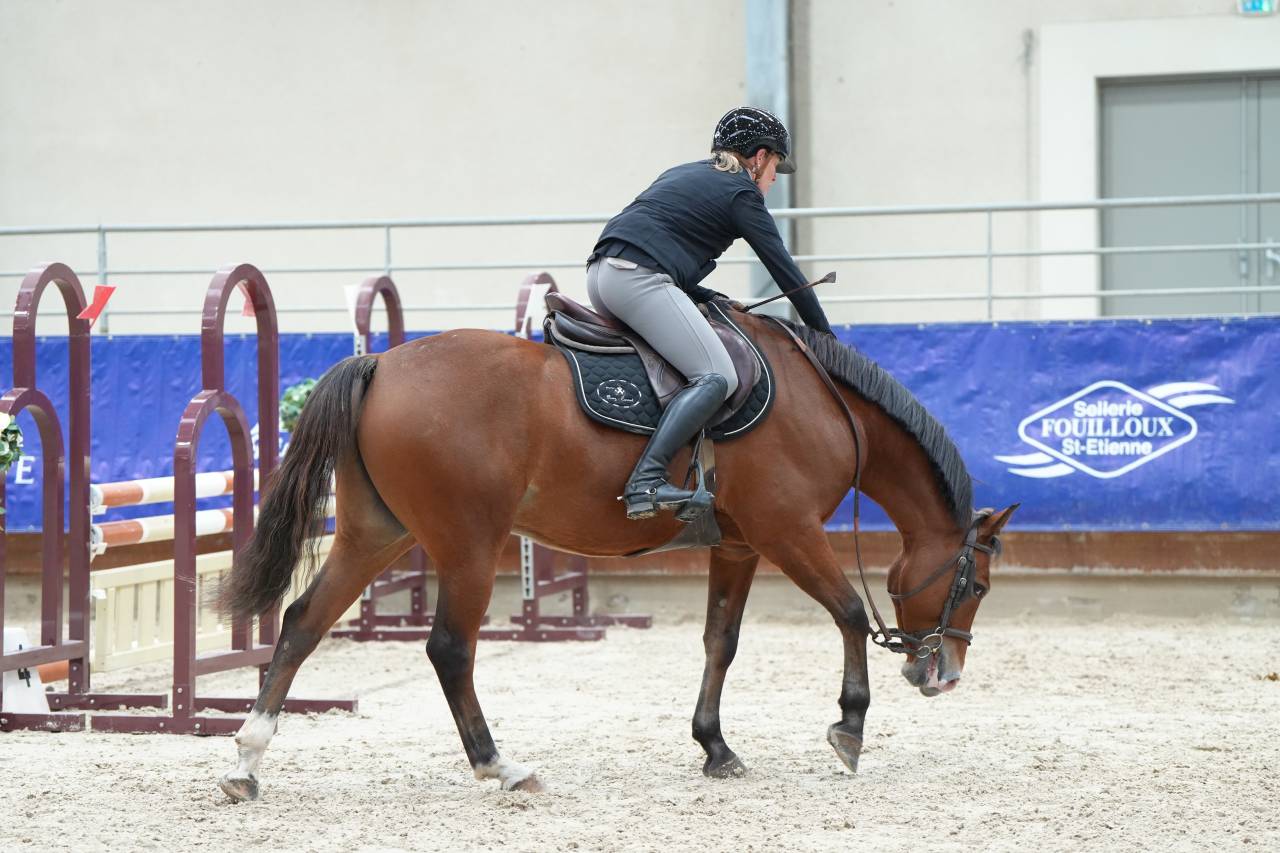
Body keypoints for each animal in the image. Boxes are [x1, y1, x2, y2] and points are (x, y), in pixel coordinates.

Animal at [215, 310, 1016, 801]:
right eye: (976, 583)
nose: (944, 674)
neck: (824, 404)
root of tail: (380, 363)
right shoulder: (788, 532)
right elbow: (849, 612)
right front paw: (849, 729)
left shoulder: (738, 544)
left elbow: (720, 641)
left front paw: (714, 747)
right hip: (468, 543)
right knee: (449, 648)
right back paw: (501, 766)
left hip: (375, 535)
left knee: (301, 622)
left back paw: (249, 759)